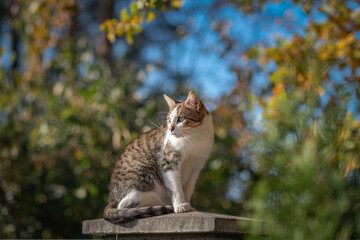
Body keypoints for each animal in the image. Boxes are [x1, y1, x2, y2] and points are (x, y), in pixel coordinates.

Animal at [102, 90, 214, 223]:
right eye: (169, 120)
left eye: (181, 119)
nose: (170, 129)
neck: (194, 138)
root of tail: (111, 199)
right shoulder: (169, 162)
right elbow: (176, 188)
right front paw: (180, 205)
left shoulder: (195, 167)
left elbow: (188, 189)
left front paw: (188, 205)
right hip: (145, 180)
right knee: (125, 205)